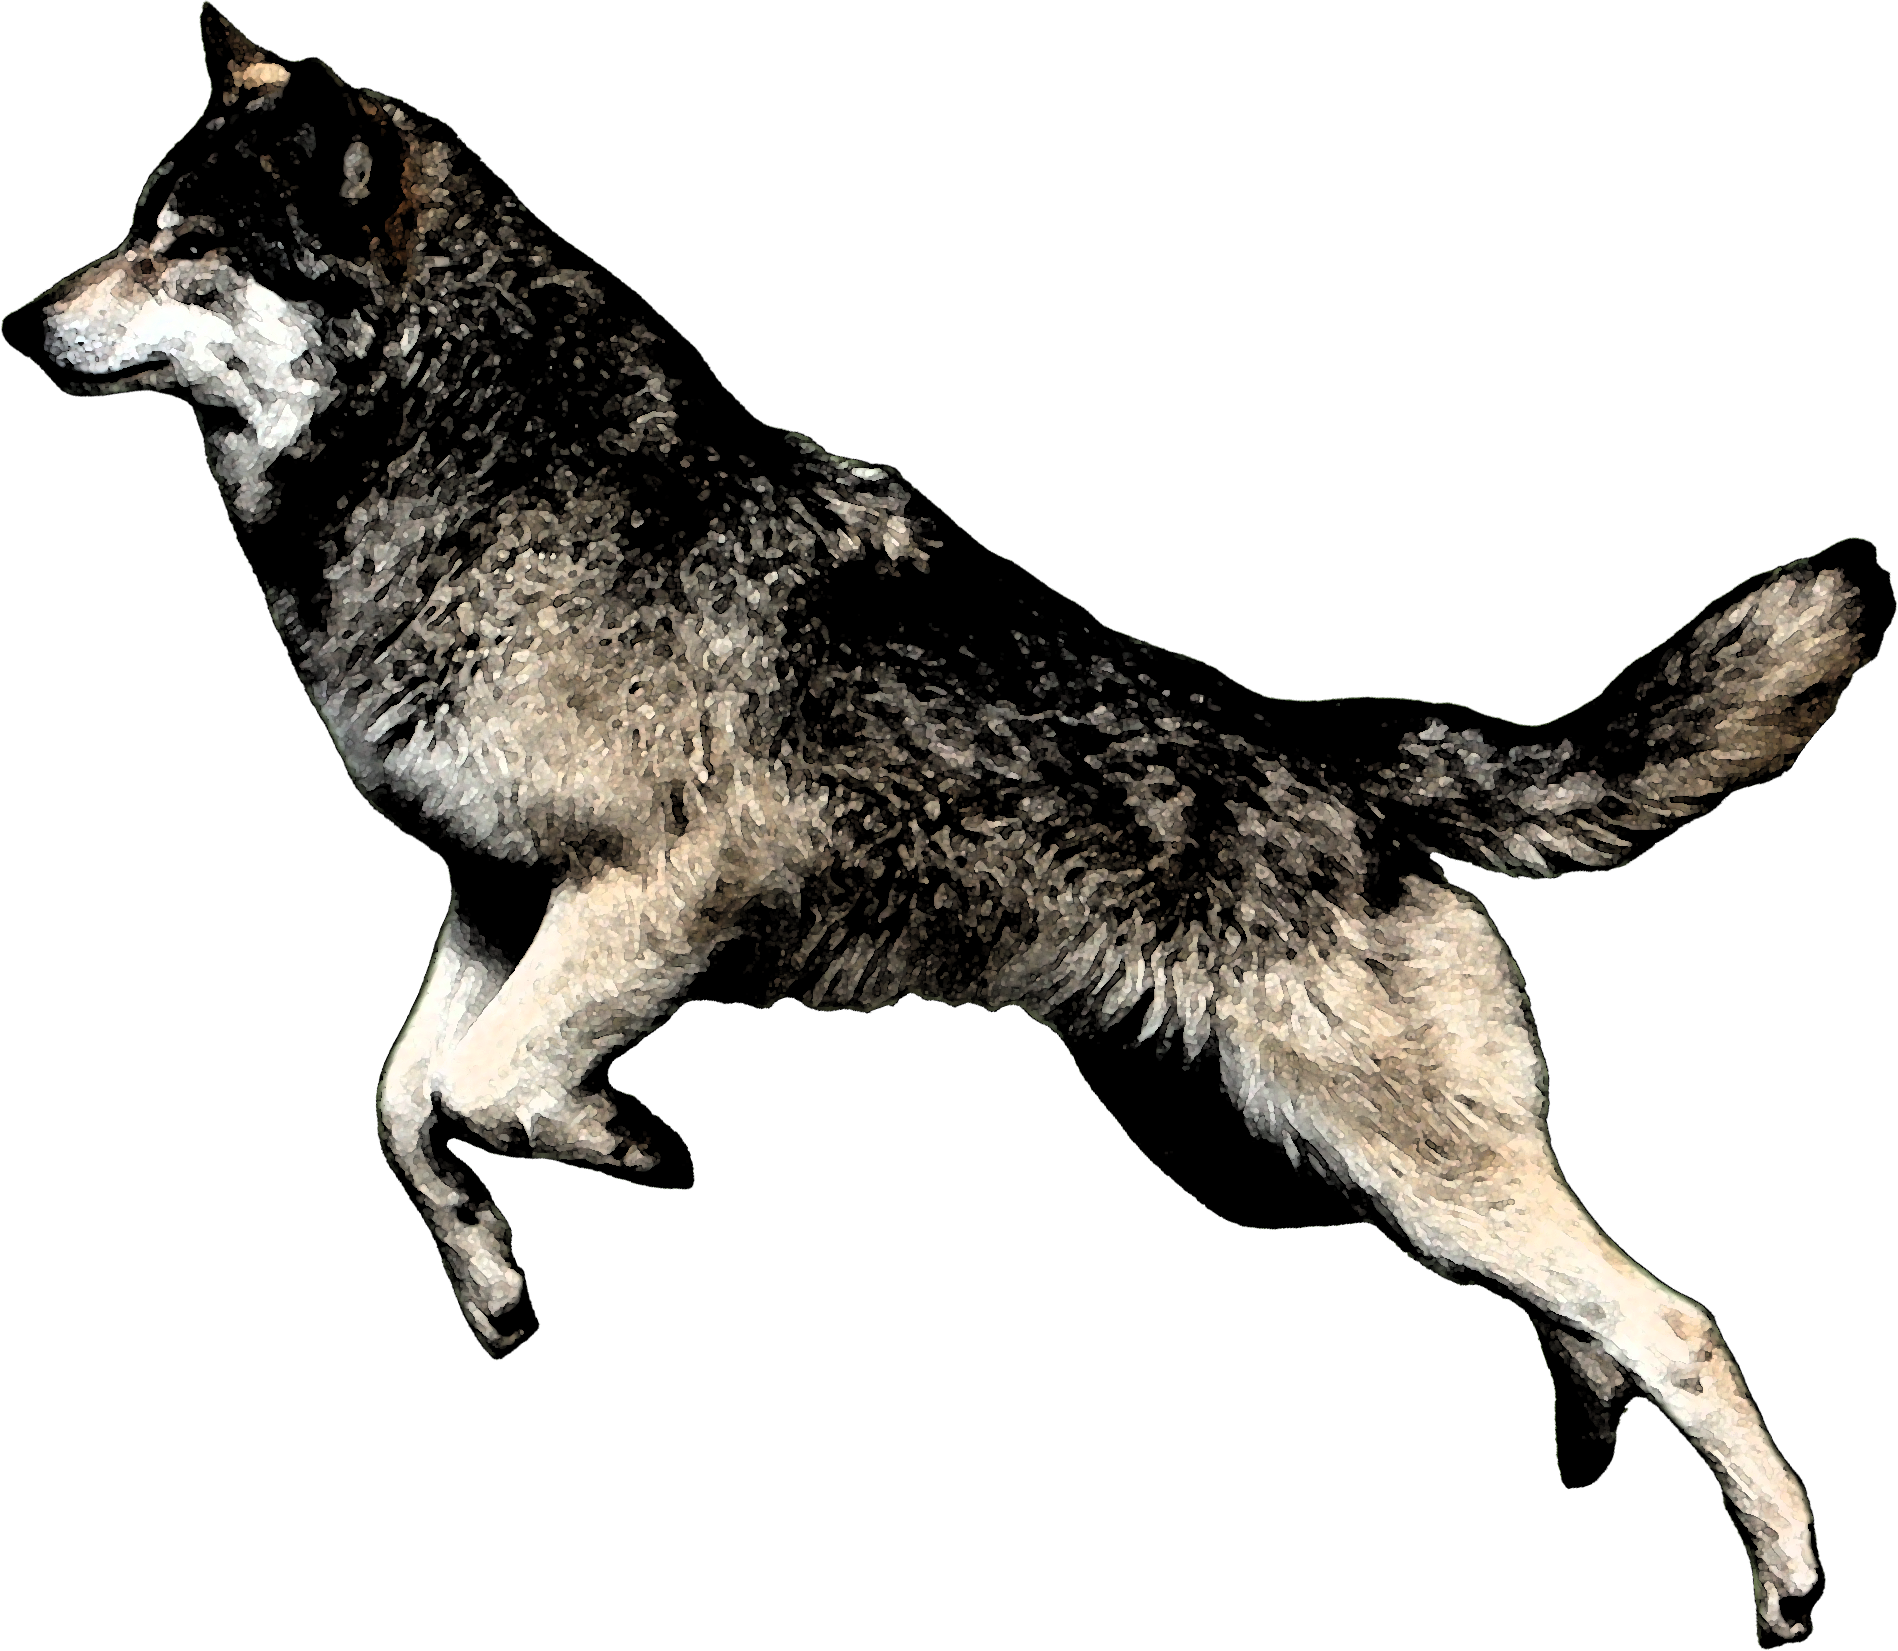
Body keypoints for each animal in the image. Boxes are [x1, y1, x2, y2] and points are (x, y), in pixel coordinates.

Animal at [4, 11, 1885, 1642]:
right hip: (1300, 1176)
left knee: (1671, 1319)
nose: (23, 329)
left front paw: (619, 1139)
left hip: (1382, 1171)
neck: (466, 470)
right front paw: (486, 1278)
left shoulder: (652, 894)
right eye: (131, 231)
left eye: (188, 246)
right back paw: (1597, 1440)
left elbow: (485, 1085)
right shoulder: (496, 893)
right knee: (1581, 1318)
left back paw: (1790, 1582)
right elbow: (401, 1107)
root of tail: (1332, 747)